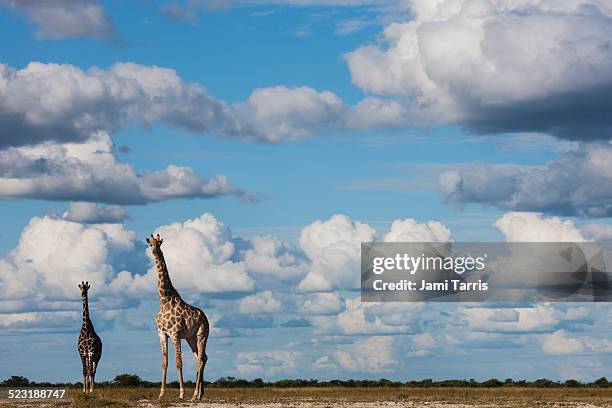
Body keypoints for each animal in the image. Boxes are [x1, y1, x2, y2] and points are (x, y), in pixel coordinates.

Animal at [146, 234, 210, 400]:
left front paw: (181, 393)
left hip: (202, 334)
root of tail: (206, 318)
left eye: (159, 243)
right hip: (190, 338)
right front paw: (161, 393)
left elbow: (178, 362)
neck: (164, 300)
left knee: (201, 359)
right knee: (201, 357)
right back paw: (199, 394)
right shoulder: (162, 334)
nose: (155, 251)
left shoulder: (174, 334)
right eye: (150, 244)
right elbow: (164, 362)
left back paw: (195, 395)